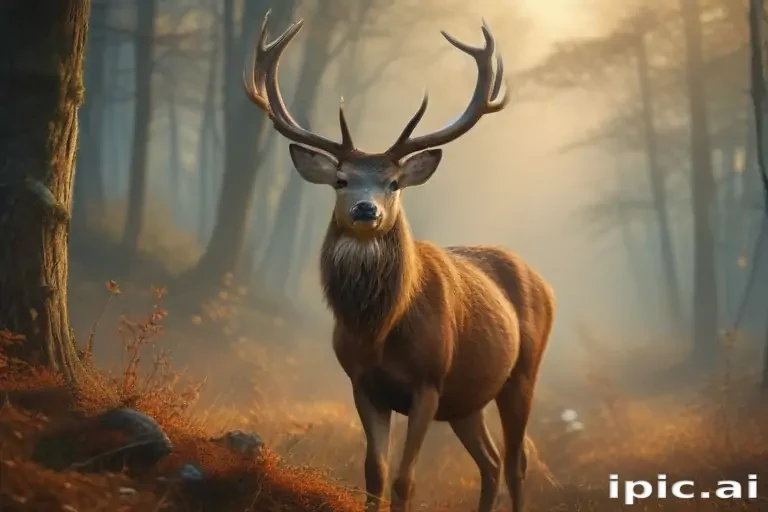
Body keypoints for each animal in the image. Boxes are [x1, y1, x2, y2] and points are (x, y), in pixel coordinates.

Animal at [242, 11, 556, 512]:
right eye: (341, 180)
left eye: (393, 183)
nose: (365, 210)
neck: (380, 331)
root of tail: (545, 284)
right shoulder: (362, 382)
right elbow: (375, 470)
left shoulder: (429, 381)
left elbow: (406, 479)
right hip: (467, 399)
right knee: (488, 462)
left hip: (523, 372)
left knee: (515, 462)